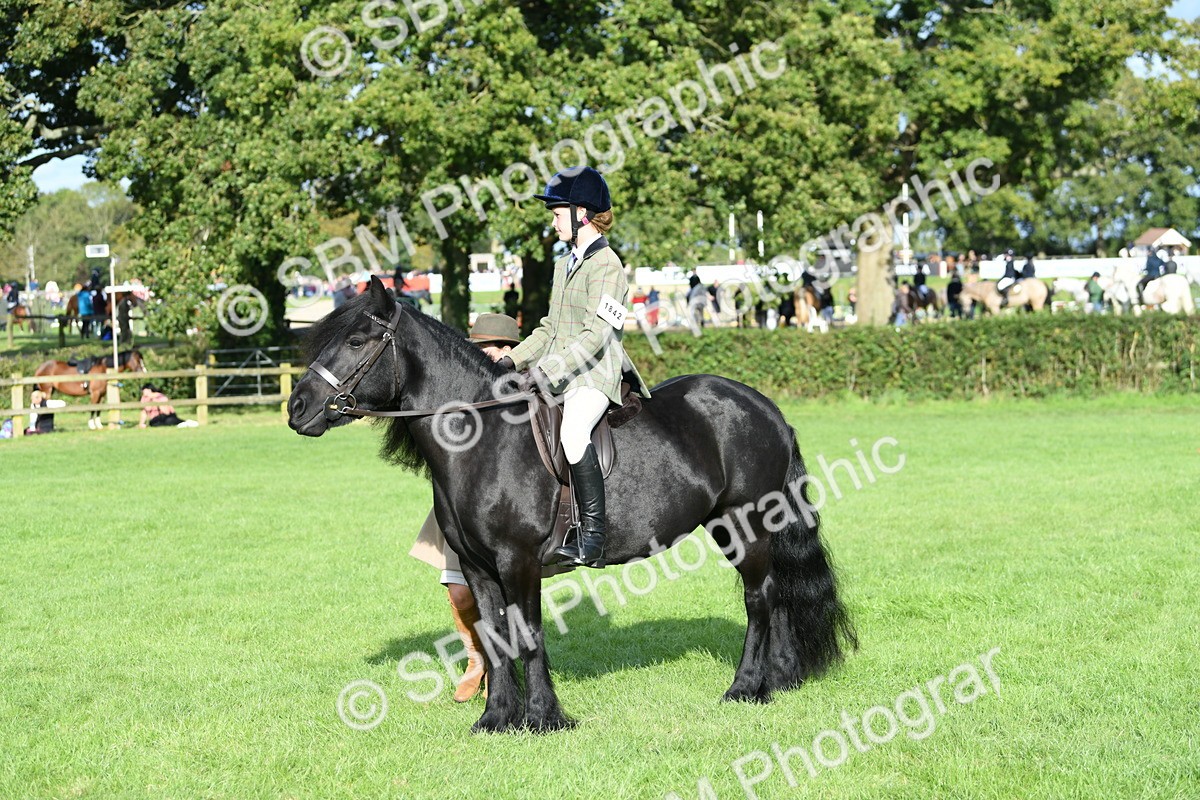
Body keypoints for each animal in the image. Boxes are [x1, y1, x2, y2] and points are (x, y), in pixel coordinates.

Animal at [287, 276, 855, 733]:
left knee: (760, 598)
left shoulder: (518, 562)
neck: (484, 437)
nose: (297, 407)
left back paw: (744, 687)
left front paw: (543, 717)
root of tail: (765, 408)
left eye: (355, 341)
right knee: (777, 593)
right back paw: (778, 682)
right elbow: (494, 636)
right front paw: (496, 719)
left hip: (746, 523)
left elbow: (528, 634)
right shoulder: (476, 567)